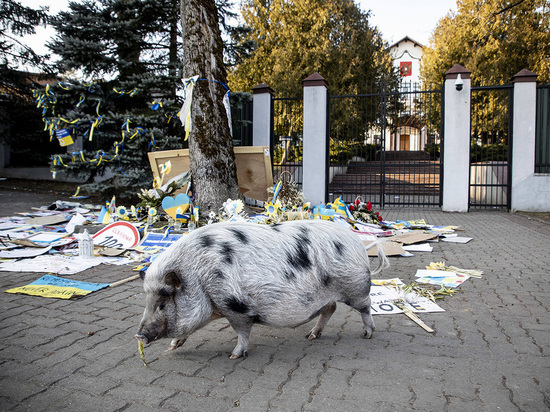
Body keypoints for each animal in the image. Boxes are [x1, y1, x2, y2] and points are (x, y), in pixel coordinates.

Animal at [136, 220, 390, 358]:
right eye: (147, 301)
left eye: (162, 302)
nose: (139, 335)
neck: (199, 277)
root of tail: (359, 242)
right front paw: (172, 347)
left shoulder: (235, 308)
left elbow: (242, 333)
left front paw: (234, 355)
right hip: (327, 295)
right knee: (330, 309)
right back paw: (311, 336)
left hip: (355, 287)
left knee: (366, 307)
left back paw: (367, 335)